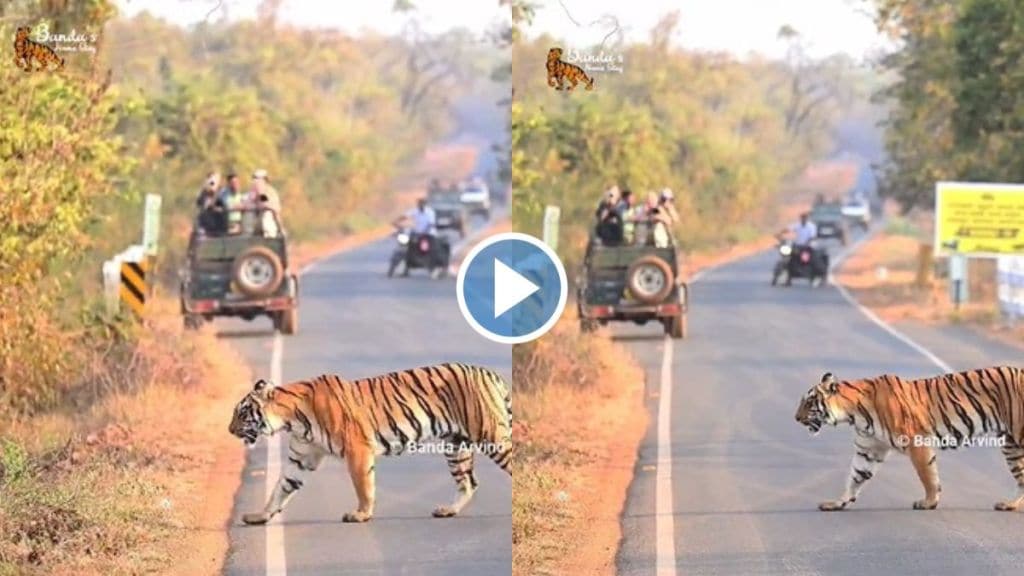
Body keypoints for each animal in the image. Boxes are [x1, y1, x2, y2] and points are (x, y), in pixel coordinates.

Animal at [227, 360, 507, 522]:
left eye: (242, 413)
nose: (229, 430)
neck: (292, 419)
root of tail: (490, 374)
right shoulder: (301, 459)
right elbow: (281, 487)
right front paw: (260, 516)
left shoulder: (357, 449)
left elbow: (363, 485)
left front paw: (361, 514)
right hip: (455, 445)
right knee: (468, 482)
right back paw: (448, 511)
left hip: (492, 436)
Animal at [794, 364, 1024, 508]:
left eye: (809, 402)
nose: (795, 418)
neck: (854, 414)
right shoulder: (869, 449)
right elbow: (856, 476)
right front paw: (837, 503)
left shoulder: (916, 442)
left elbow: (927, 476)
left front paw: (929, 502)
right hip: (1011, 445)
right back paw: (1009, 506)